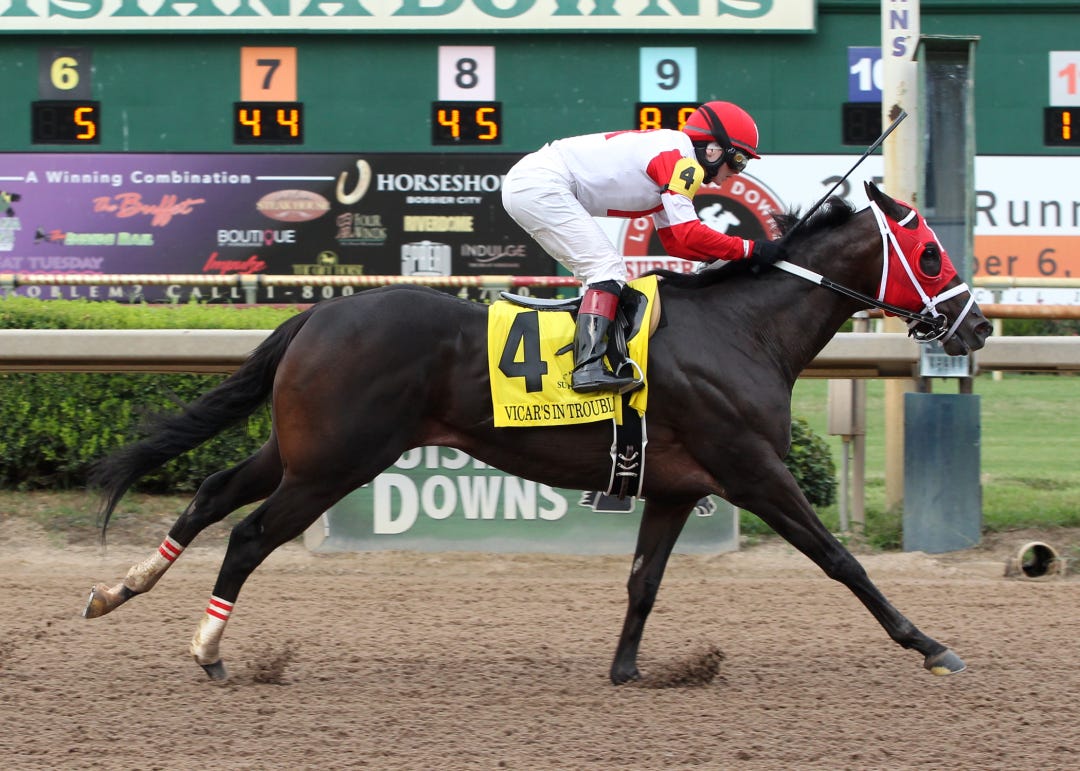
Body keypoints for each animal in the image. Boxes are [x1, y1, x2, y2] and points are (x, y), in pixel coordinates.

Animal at [83, 181, 992, 684]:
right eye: (929, 253)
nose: (977, 325)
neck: (741, 329)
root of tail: (320, 312)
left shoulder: (675, 486)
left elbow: (643, 582)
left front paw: (630, 670)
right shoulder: (754, 469)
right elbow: (842, 560)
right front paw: (930, 644)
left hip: (301, 448)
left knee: (209, 493)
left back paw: (116, 589)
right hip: (334, 464)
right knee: (247, 534)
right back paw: (208, 648)